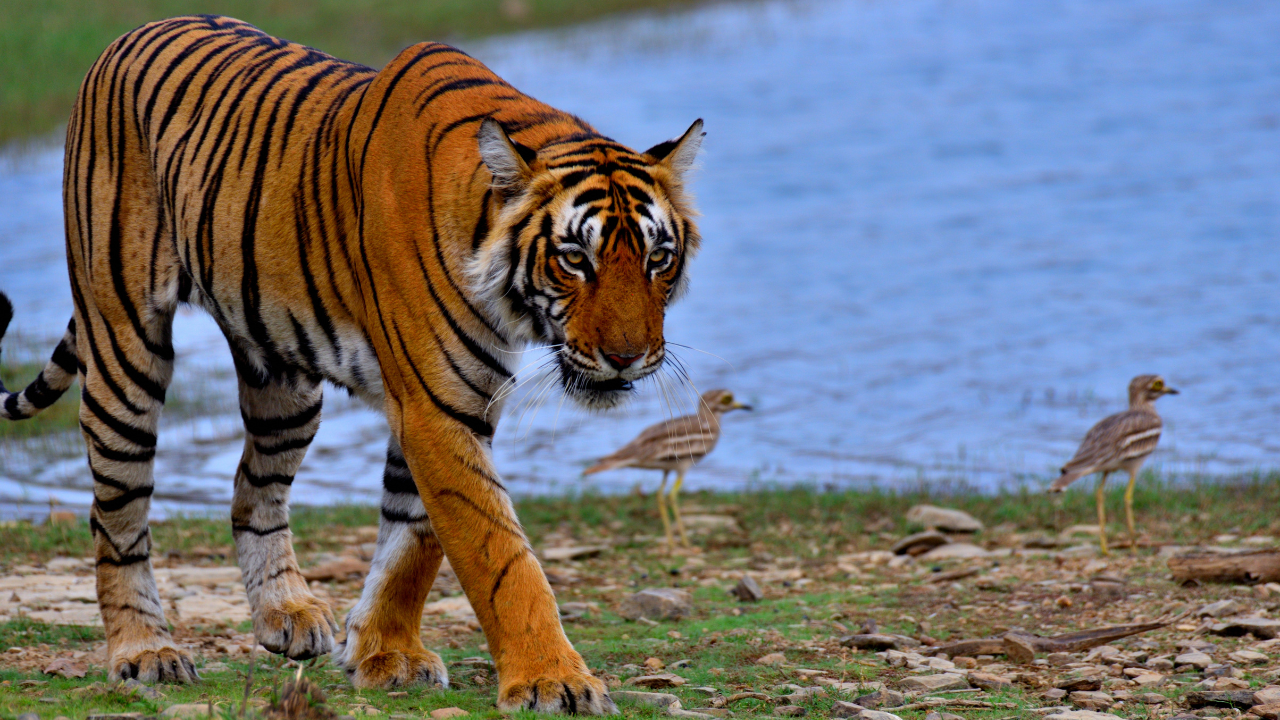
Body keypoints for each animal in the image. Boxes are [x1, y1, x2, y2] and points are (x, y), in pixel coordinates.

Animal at [0, 14, 706, 707]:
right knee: (116, 513)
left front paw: (385, 654)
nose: (626, 357)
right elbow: (498, 554)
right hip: (124, 345)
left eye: (658, 259)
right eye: (575, 259)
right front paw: (552, 679)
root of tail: (127, 36)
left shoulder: (452, 402)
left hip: (285, 386)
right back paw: (145, 652)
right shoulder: (435, 407)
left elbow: (412, 539)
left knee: (252, 490)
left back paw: (284, 614)